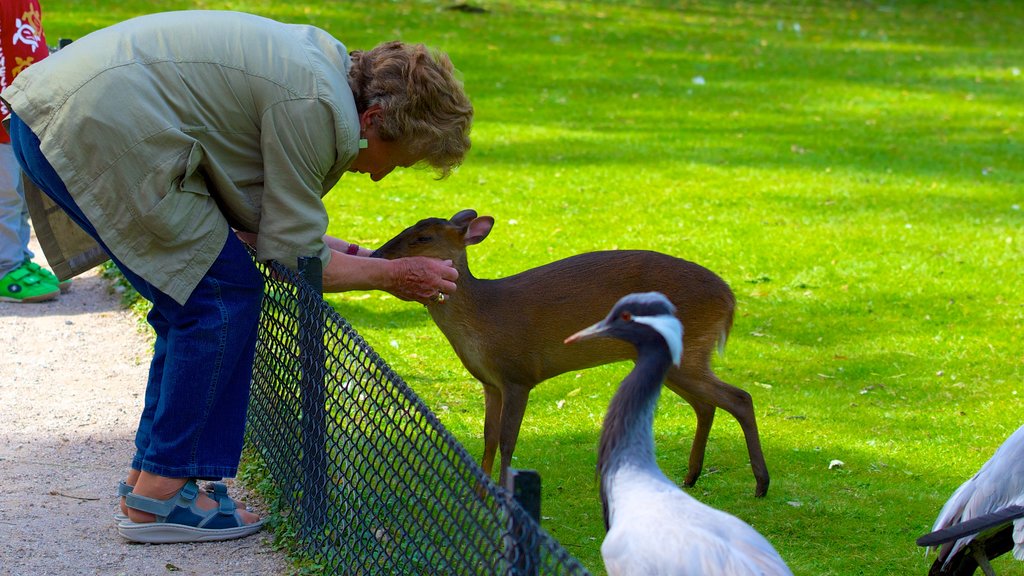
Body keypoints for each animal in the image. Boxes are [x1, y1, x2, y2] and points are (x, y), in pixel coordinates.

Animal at [370, 210, 770, 494]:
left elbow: (507, 440)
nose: (376, 253)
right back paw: (691, 477)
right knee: (707, 404)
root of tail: (729, 299)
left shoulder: (519, 375)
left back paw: (761, 484)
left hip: (687, 352)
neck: (483, 318)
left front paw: (504, 495)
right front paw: (480, 495)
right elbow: (488, 438)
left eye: (422, 237)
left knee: (739, 397)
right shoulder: (490, 383)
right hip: (676, 360)